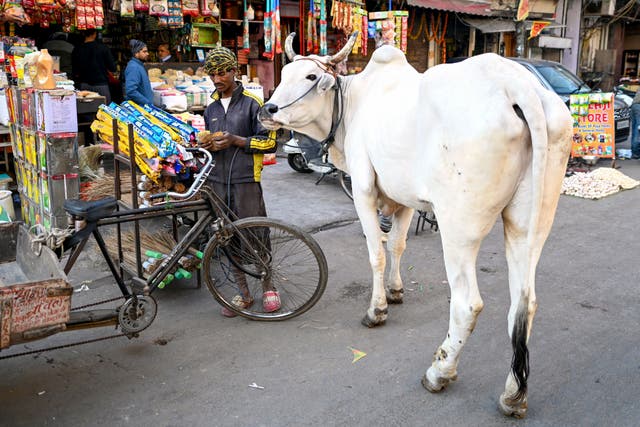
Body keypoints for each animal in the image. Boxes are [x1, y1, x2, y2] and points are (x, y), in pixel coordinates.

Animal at [258, 32, 572, 418]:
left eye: (311, 77)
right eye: (285, 73)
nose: (268, 109)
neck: (354, 104)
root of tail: (517, 85)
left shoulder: (363, 189)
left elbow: (377, 253)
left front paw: (377, 309)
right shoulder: (403, 197)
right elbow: (397, 244)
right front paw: (395, 292)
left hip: (458, 228)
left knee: (467, 304)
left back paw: (439, 372)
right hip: (531, 223)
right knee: (523, 305)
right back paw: (513, 395)